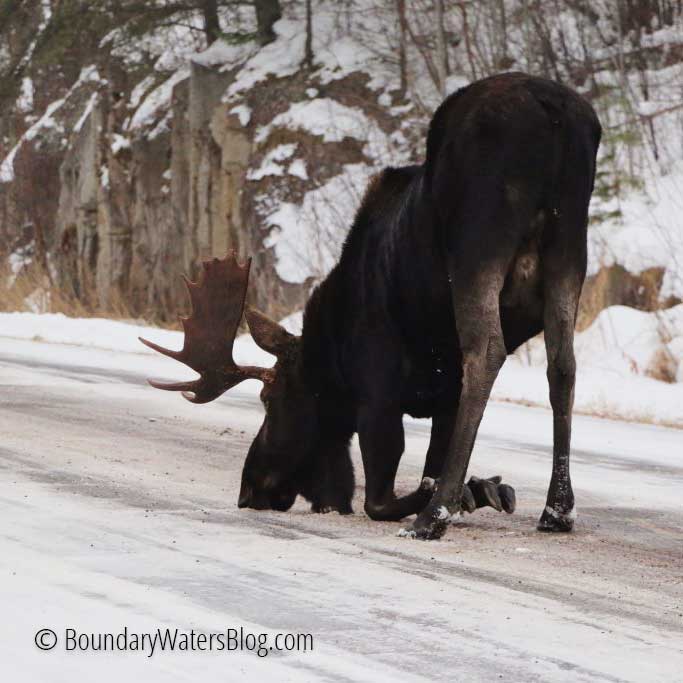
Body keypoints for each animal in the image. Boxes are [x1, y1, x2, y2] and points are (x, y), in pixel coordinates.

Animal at [142, 73, 600, 540]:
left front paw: (466, 492)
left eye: (269, 399)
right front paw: (474, 489)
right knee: (562, 364)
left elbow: (379, 498)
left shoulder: (376, 388)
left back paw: (433, 517)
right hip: (569, 248)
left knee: (486, 353)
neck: (333, 355)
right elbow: (434, 455)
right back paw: (557, 511)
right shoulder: (439, 398)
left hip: (477, 247)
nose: (248, 489)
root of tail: (552, 111)